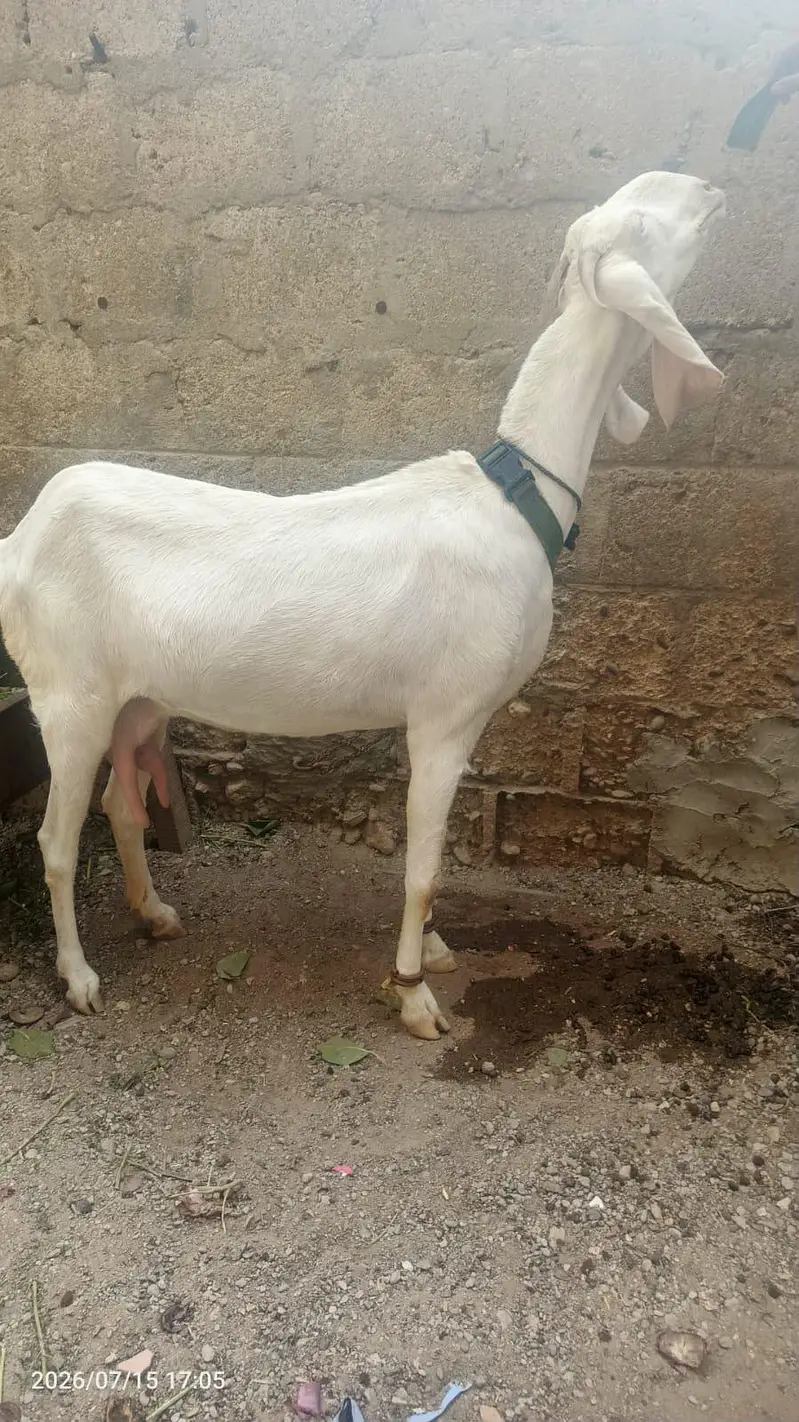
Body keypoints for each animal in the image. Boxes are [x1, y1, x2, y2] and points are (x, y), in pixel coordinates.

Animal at [0, 172, 725, 1040]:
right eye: (642, 222)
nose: (710, 188)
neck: (514, 498)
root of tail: (19, 539)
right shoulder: (445, 716)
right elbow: (422, 866)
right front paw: (412, 993)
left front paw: (434, 952)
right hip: (67, 694)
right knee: (55, 839)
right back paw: (79, 977)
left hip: (138, 697)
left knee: (119, 801)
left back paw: (154, 913)